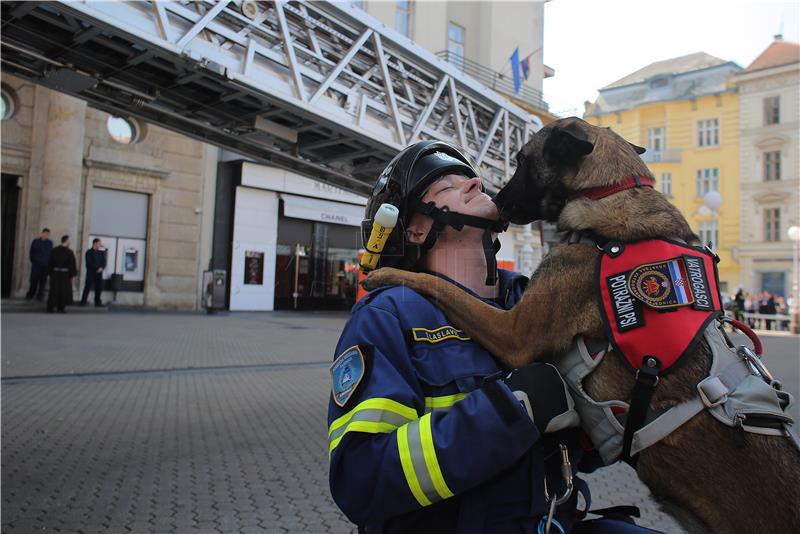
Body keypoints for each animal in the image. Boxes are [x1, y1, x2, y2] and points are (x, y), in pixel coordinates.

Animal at [364, 119, 800, 532]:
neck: (605, 194)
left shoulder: (514, 333)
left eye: (521, 159)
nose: (495, 201)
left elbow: (441, 285)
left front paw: (386, 273)